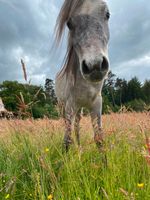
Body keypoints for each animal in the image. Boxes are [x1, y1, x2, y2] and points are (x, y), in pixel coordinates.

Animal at [54, 0, 109, 151]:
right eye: (68, 24)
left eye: (107, 14)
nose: (94, 65)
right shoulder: (70, 105)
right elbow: (67, 140)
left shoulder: (96, 104)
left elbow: (99, 139)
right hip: (65, 107)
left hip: (80, 109)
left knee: (77, 126)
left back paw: (79, 147)